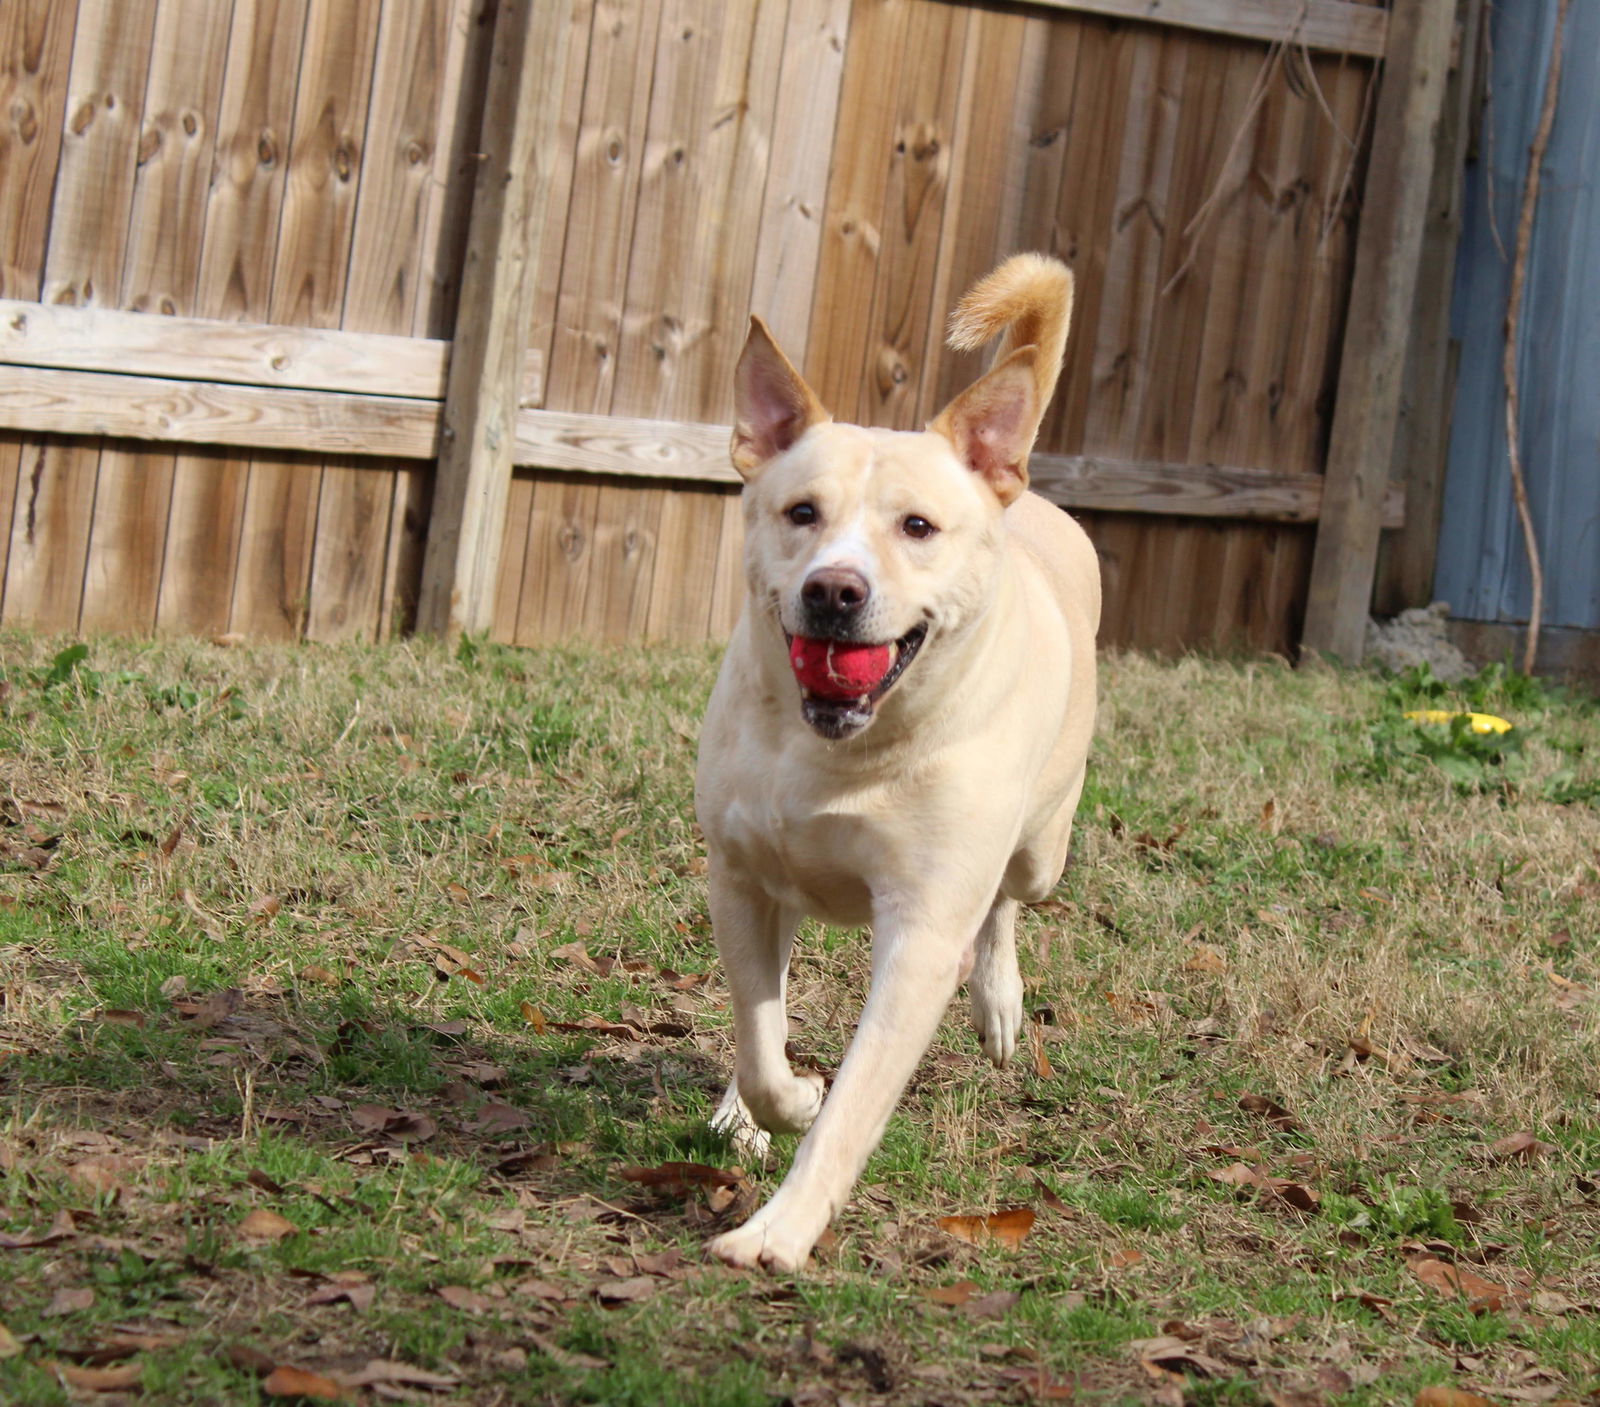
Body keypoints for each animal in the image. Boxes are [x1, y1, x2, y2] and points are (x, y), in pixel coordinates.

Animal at [697, 252, 1100, 1274]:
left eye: (917, 527)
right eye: (800, 513)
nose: (833, 591)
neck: (843, 749)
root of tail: (1021, 492)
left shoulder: (919, 936)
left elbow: (852, 1109)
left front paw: (777, 1232)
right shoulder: (742, 877)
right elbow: (759, 1030)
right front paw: (776, 1100)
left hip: (1042, 847)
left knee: (1009, 900)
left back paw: (999, 1001)